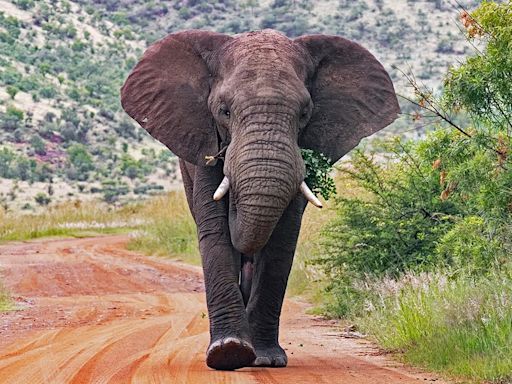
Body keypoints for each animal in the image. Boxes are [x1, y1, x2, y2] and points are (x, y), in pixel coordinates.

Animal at [121, 28, 400, 370]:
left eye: (305, 113)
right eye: (224, 111)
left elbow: (281, 239)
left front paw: (265, 359)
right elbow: (215, 231)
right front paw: (228, 352)